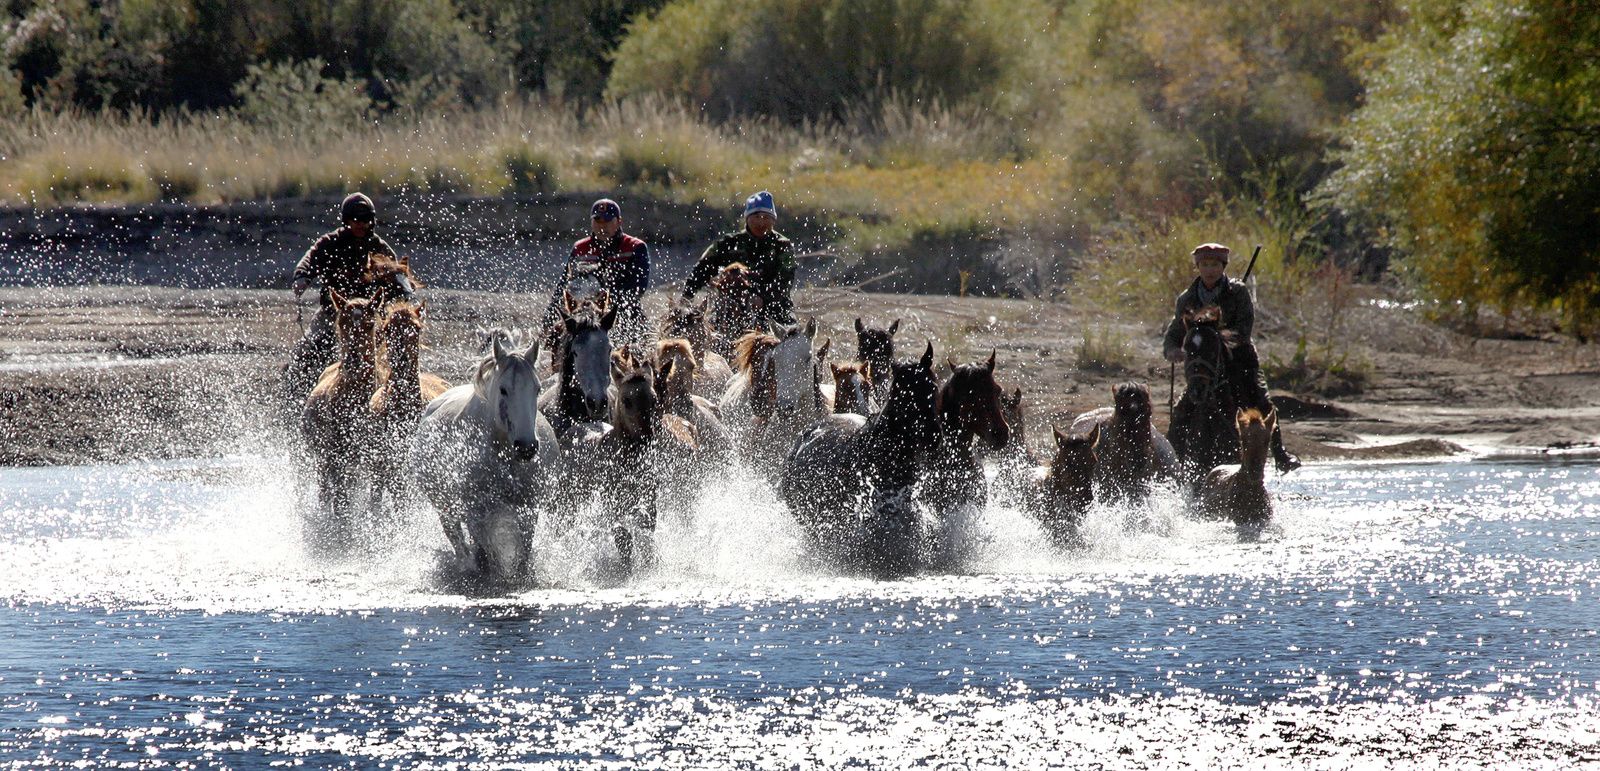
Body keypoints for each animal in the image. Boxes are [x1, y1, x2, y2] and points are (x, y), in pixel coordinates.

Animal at [299, 289, 379, 540]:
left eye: (370, 323)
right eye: (341, 322)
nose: (353, 362)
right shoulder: (334, 458)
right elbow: (341, 503)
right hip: (321, 460)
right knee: (326, 493)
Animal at [409, 331, 560, 585]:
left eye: (537, 389)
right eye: (503, 389)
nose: (527, 447)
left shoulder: (529, 509)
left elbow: (524, 554)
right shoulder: (474, 512)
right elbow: (483, 555)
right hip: (444, 507)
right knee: (458, 542)